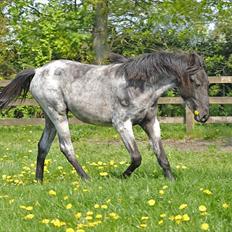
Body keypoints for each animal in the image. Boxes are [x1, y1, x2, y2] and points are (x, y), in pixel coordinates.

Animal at [0, 51, 210, 182]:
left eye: (207, 83)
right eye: (195, 82)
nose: (204, 116)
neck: (139, 85)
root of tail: (37, 71)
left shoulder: (150, 122)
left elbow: (161, 155)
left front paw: (171, 181)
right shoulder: (122, 124)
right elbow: (136, 157)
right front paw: (120, 178)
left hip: (49, 117)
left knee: (43, 146)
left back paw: (39, 181)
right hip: (57, 114)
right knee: (66, 147)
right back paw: (87, 179)